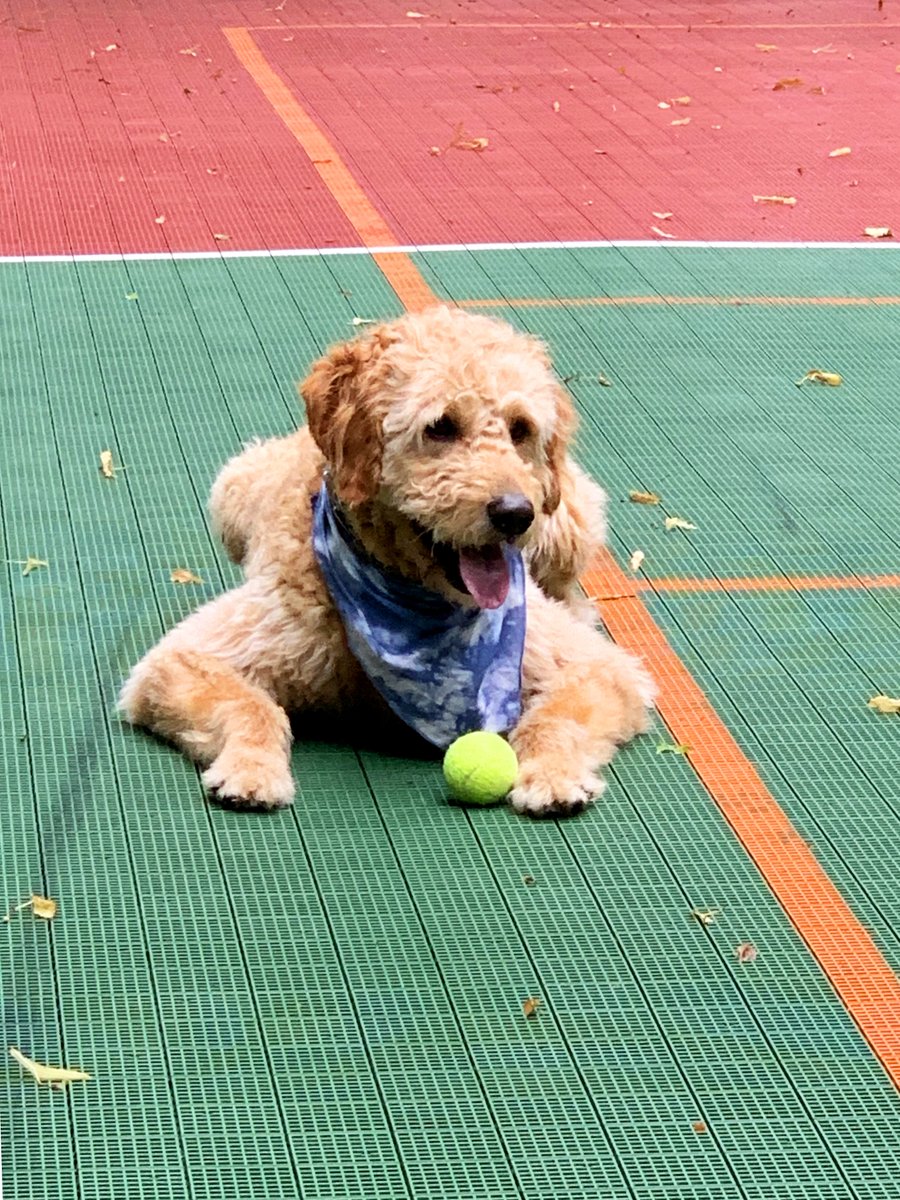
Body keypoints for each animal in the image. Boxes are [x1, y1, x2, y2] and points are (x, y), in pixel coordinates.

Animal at [120, 304, 657, 820]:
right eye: (440, 426)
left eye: (520, 429)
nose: (515, 514)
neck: (413, 601)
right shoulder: (187, 656)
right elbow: (252, 706)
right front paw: (251, 770)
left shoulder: (596, 666)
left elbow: (555, 718)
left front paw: (553, 775)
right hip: (232, 487)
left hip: (569, 522)